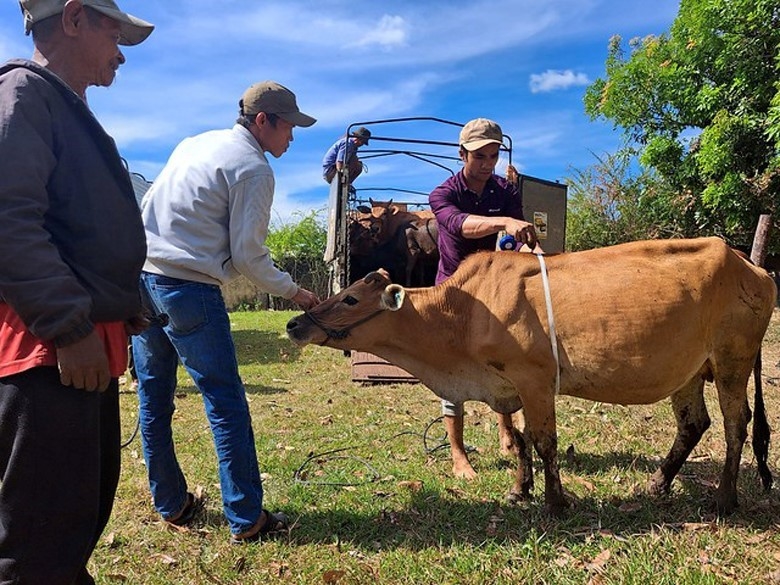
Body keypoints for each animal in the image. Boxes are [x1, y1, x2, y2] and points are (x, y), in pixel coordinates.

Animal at [288, 235, 780, 512]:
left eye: (351, 299)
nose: (296, 323)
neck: (464, 313)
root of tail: (752, 265)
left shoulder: (536, 379)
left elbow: (545, 442)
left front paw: (555, 501)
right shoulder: (512, 385)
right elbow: (522, 440)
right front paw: (519, 491)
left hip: (733, 360)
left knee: (736, 426)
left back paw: (724, 499)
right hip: (691, 372)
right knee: (694, 424)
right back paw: (658, 484)